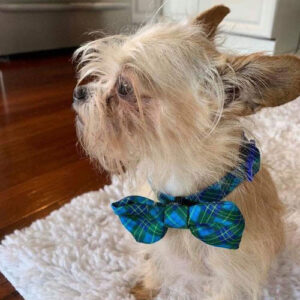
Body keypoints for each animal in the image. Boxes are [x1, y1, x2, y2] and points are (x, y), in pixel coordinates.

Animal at [72, 5, 300, 300]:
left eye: (124, 88)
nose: (79, 92)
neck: (181, 205)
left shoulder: (232, 276)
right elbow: (153, 263)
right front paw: (145, 289)